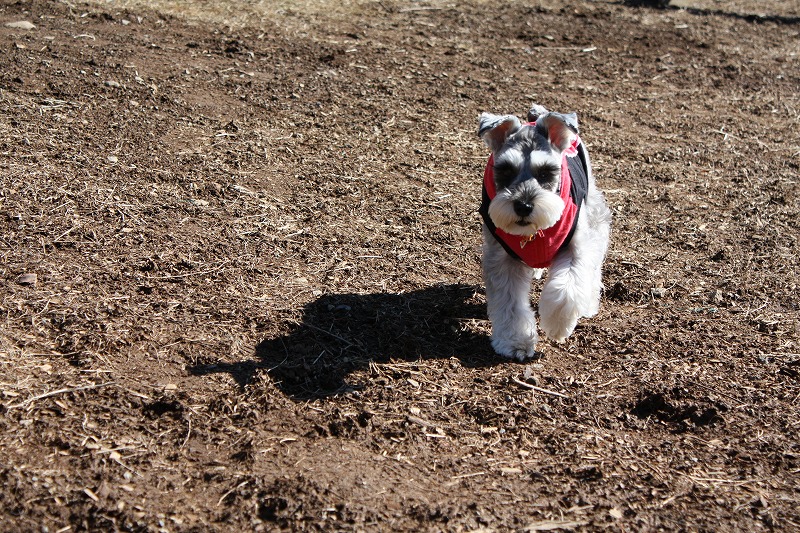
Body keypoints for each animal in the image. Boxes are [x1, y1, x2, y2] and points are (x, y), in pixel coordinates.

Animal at [478, 103, 608, 362]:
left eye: (547, 173)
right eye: (505, 170)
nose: (523, 206)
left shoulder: (575, 248)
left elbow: (566, 289)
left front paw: (558, 325)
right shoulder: (501, 259)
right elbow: (509, 303)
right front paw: (515, 341)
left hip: (594, 212)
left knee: (594, 262)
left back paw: (588, 302)